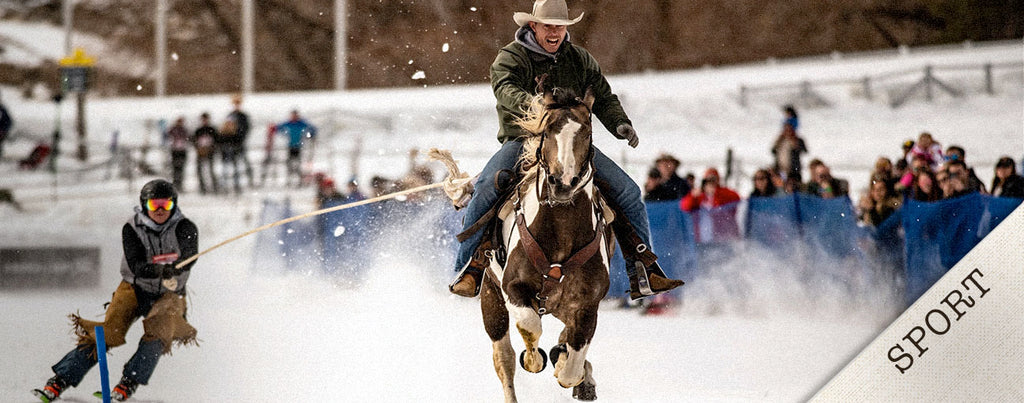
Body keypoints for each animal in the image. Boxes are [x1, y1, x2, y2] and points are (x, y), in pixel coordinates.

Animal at [481, 85, 614, 403]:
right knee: (504, 358)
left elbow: (571, 368)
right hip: (491, 298)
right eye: (547, 129)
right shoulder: (512, 288)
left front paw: (572, 369)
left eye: (587, 130)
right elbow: (529, 326)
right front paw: (534, 359)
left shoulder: (587, 305)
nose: (563, 182)